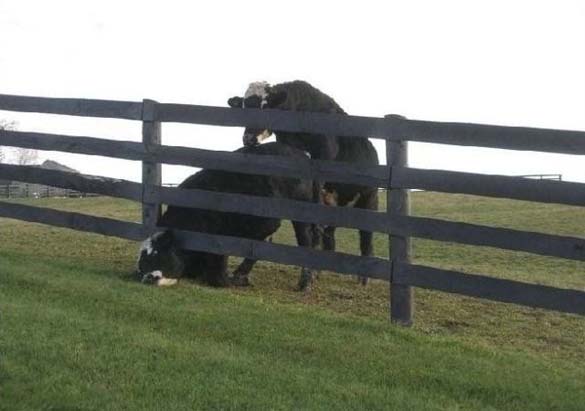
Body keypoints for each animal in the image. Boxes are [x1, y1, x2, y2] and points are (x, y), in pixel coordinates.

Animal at [135, 143, 318, 292]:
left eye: (157, 253)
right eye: (142, 265)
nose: (148, 277)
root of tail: (299, 152)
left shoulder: (220, 241)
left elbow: (218, 278)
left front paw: (236, 279)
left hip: (299, 213)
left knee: (303, 241)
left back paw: (303, 283)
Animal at [226, 80, 376, 286]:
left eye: (265, 105)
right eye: (243, 106)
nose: (248, 138)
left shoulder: (324, 158)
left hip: (368, 199)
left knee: (366, 238)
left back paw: (363, 278)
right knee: (330, 237)